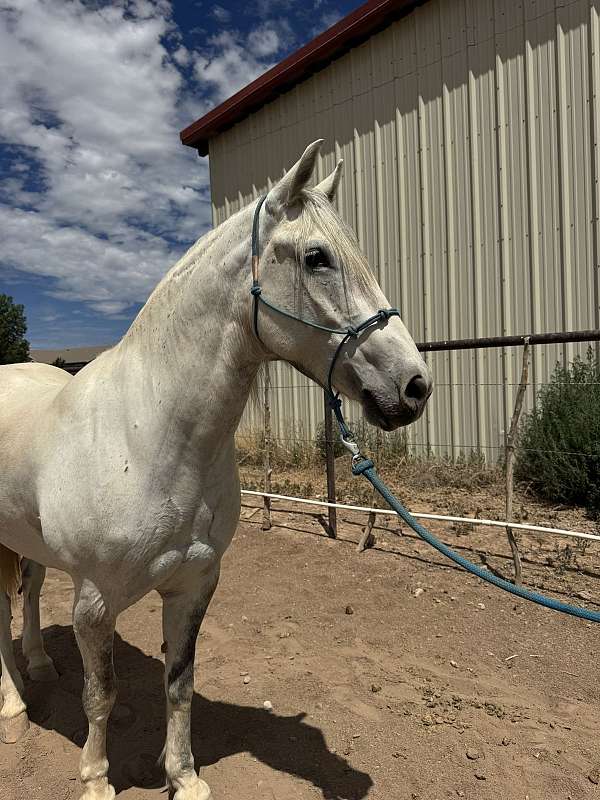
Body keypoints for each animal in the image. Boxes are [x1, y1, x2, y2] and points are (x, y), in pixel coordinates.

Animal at [0, 140, 432, 800]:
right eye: (317, 258)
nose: (414, 386)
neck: (147, 436)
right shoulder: (95, 601)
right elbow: (100, 695)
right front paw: (96, 780)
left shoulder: (194, 584)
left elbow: (179, 684)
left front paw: (184, 776)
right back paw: (15, 708)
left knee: (31, 595)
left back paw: (42, 668)